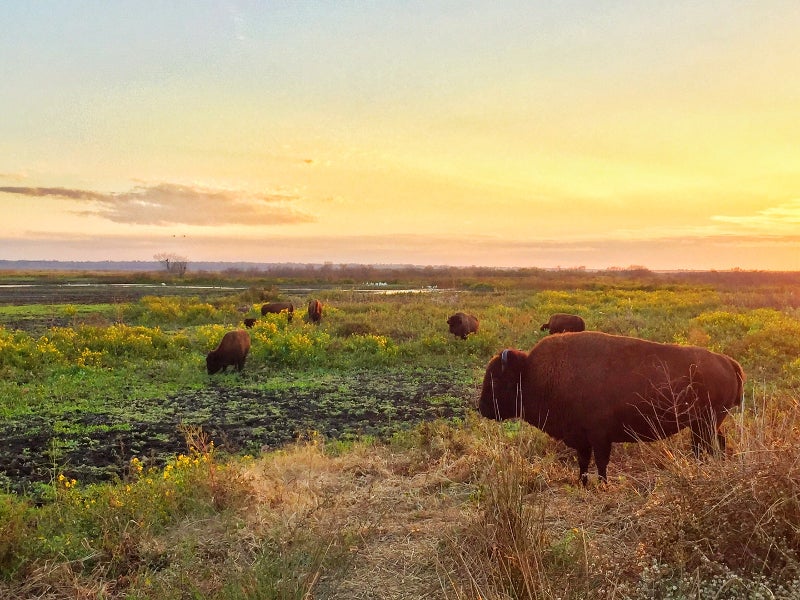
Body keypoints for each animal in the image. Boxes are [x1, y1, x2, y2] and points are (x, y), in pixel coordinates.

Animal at [476, 330, 744, 486]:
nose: (482, 408)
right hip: (707, 423)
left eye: (496, 379)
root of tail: (727, 361)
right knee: (715, 444)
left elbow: (601, 462)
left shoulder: (599, 437)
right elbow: (584, 462)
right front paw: (583, 483)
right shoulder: (582, 438)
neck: (531, 374)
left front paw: (603, 485)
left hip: (705, 423)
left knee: (705, 446)